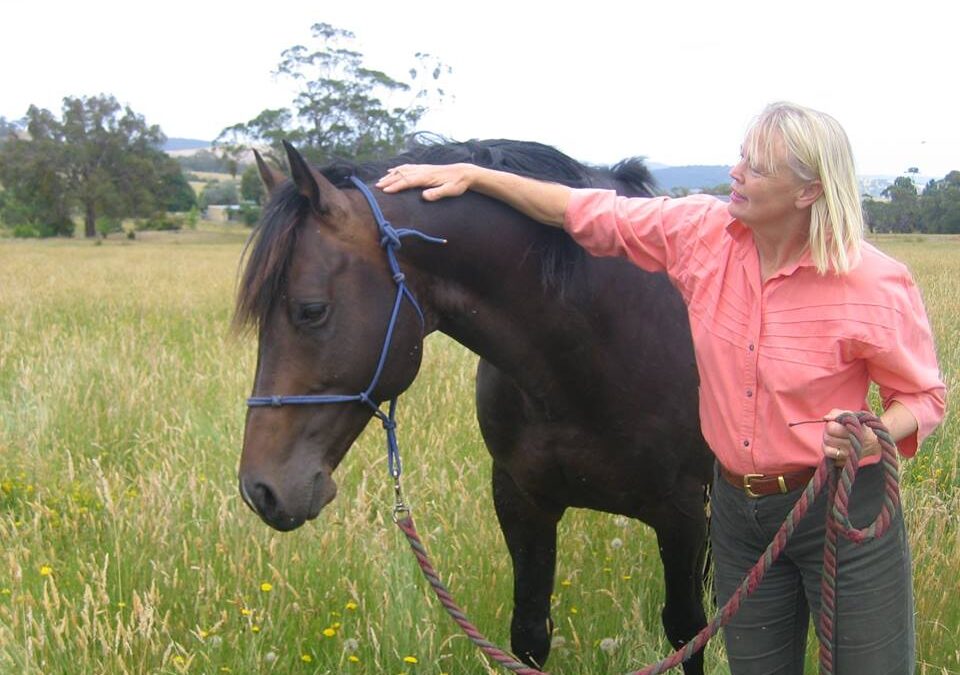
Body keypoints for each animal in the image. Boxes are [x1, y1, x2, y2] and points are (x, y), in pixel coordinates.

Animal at [232, 139, 712, 675]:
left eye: (311, 310)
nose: (260, 490)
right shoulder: (520, 499)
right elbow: (529, 632)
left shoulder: (683, 513)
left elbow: (688, 632)